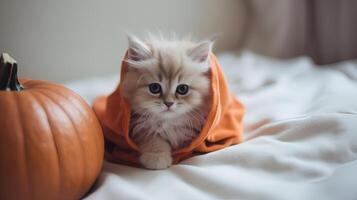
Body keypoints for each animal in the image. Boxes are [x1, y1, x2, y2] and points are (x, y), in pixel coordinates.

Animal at [122, 35, 211, 170]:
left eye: (182, 89)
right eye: (154, 88)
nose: (168, 103)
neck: (168, 123)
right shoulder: (142, 127)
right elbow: (154, 140)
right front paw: (157, 157)